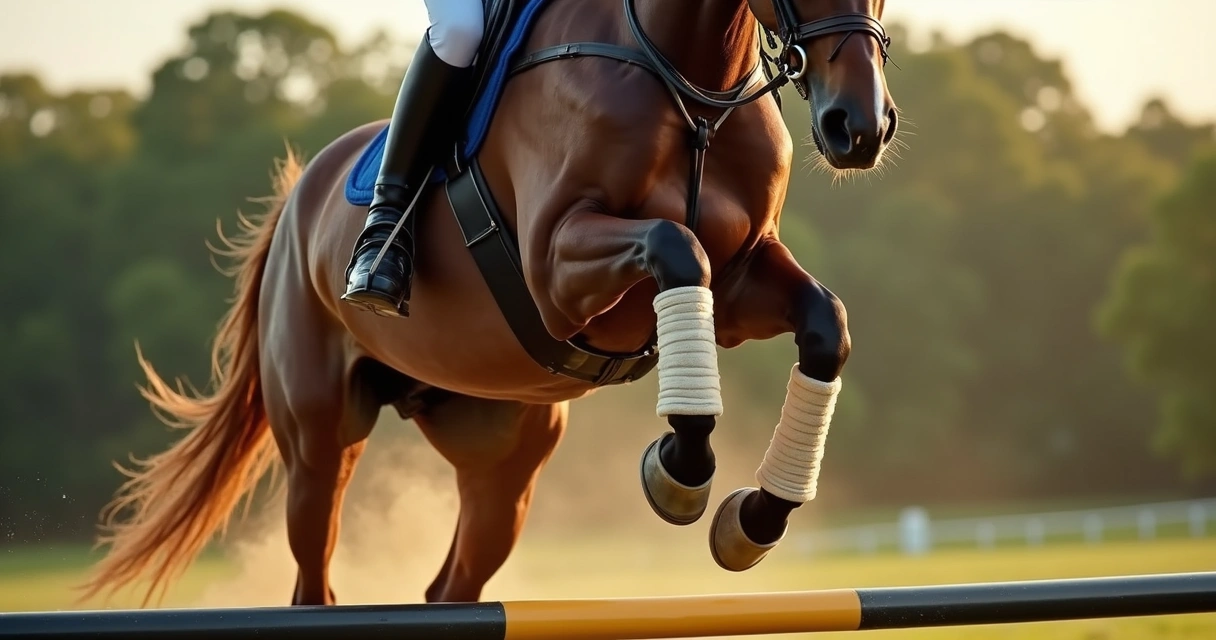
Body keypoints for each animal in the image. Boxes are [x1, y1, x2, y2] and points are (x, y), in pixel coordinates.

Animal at [78, 0, 898, 607]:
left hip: (501, 460)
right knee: (315, 580)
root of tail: (296, 201)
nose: (860, 128)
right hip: (318, 442)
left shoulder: (739, 280)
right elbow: (675, 248)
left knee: (452, 588)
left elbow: (825, 324)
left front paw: (754, 520)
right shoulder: (558, 266)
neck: (691, 89)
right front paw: (680, 468)